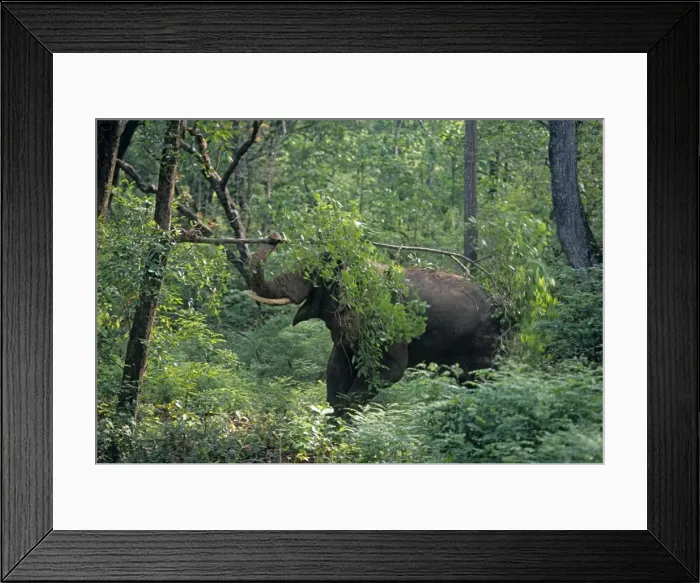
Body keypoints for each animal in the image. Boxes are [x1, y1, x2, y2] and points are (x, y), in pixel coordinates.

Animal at [246, 233, 499, 414]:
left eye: (312, 273)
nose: (275, 237)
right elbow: (336, 368)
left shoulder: (384, 324)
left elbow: (389, 370)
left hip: (485, 342)